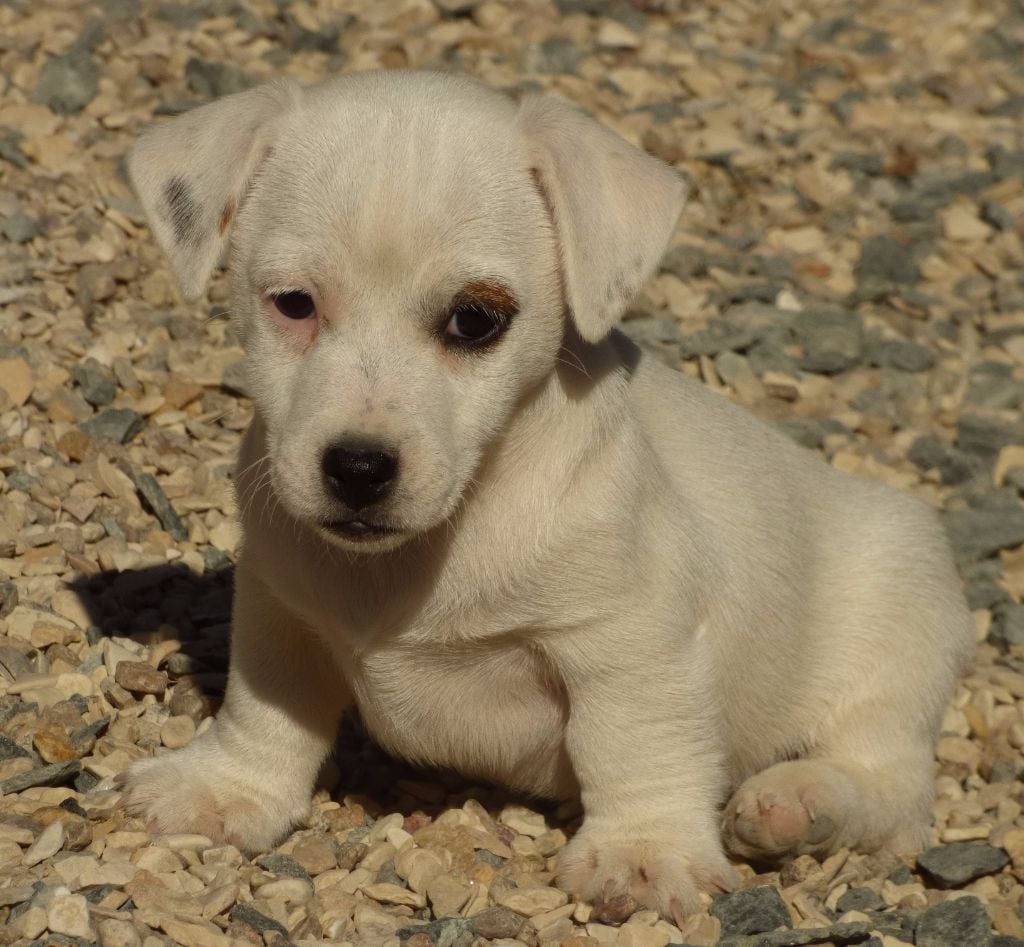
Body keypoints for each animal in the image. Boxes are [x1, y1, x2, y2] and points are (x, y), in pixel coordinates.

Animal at [122, 70, 974, 919]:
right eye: (294, 303)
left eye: (474, 320)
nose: (358, 468)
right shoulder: (282, 605)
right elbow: (267, 704)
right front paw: (226, 784)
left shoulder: (629, 640)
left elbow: (634, 744)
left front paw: (643, 850)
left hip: (897, 628)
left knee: (892, 785)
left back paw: (799, 801)